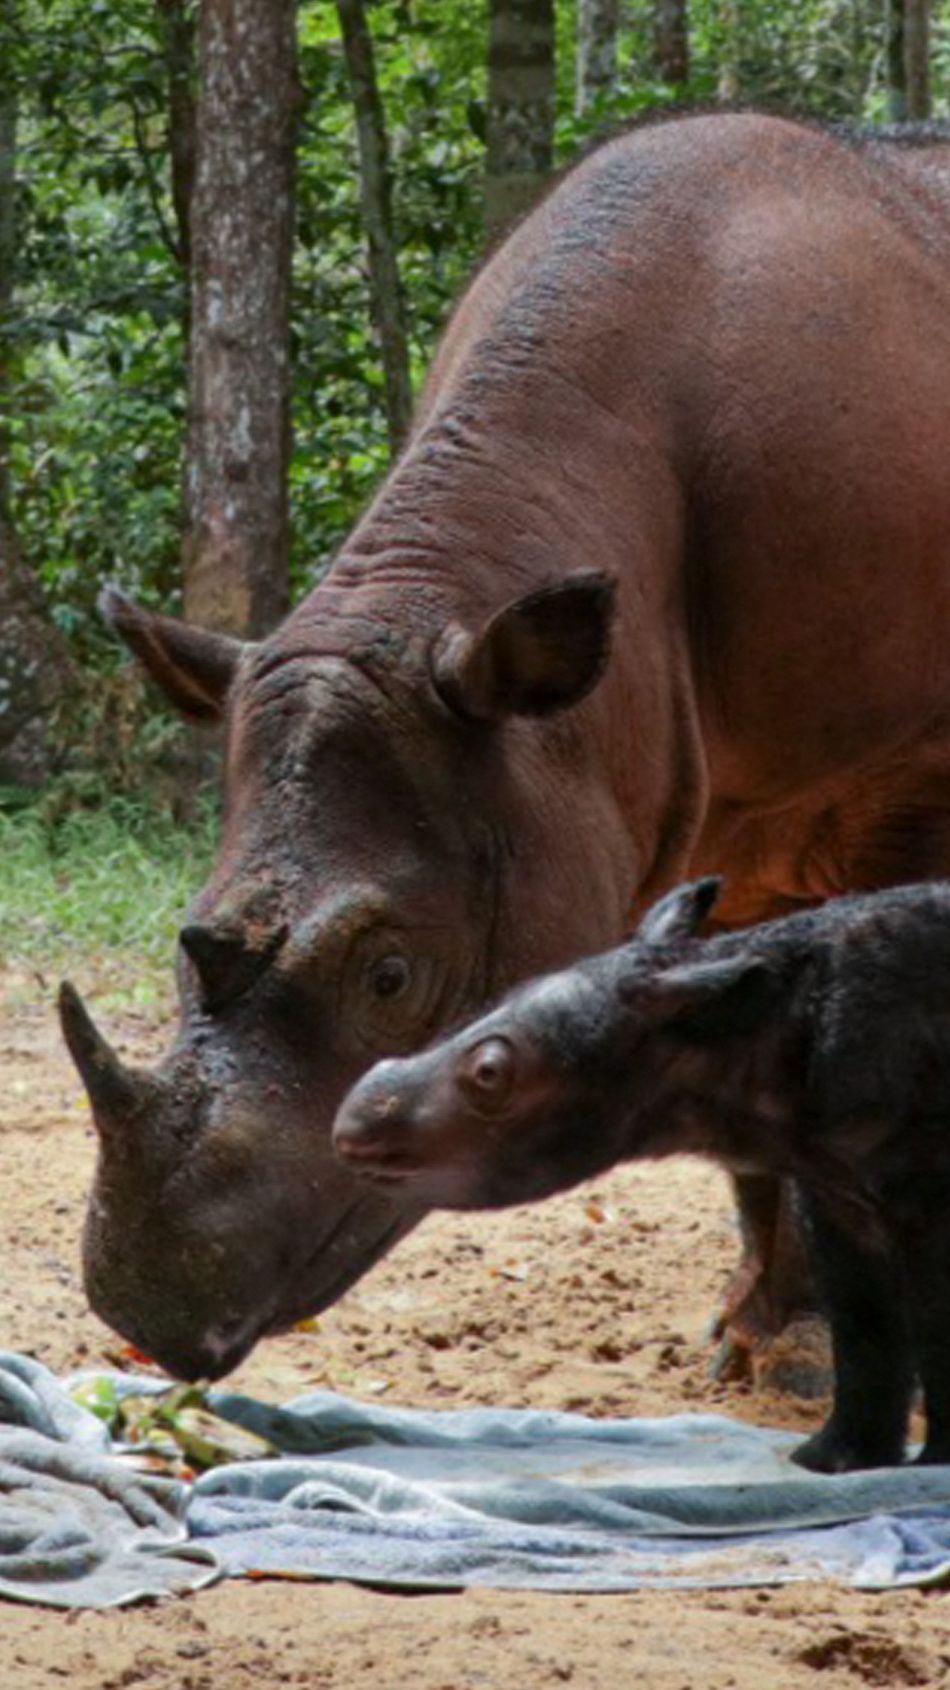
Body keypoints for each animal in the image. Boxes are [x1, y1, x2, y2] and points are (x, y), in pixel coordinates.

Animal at [59, 115, 946, 1385]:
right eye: (189, 932)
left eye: (389, 975)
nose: (152, 1314)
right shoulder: (678, 808)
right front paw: (755, 1339)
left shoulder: (903, 770)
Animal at [333, 878, 950, 1473]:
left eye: (489, 1073)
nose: (348, 1124)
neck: (739, 1038)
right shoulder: (833, 1186)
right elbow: (863, 1322)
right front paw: (833, 1463)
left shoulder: (922, 1193)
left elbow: (929, 1319)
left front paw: (931, 1468)